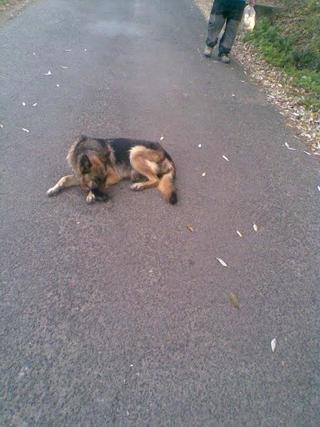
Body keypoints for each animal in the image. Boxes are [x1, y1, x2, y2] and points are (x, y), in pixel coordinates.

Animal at [47, 136, 178, 205]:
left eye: (104, 179)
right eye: (96, 180)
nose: (106, 198)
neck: (88, 150)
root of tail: (167, 154)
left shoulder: (114, 176)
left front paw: (90, 194)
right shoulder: (79, 175)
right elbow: (64, 178)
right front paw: (54, 189)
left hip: (134, 152)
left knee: (156, 180)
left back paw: (139, 185)